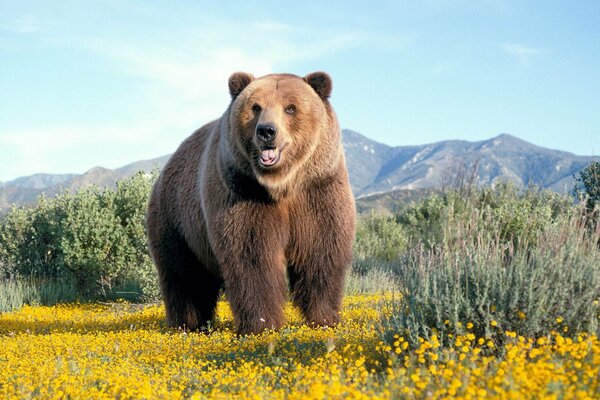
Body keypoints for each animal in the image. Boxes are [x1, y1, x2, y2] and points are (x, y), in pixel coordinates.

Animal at [146, 72, 356, 334]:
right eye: (256, 107)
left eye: (290, 108)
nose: (266, 131)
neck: (282, 184)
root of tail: (166, 167)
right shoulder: (243, 191)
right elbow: (252, 256)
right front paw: (262, 324)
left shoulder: (318, 190)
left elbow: (320, 251)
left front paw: (324, 318)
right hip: (177, 220)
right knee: (184, 275)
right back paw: (188, 324)